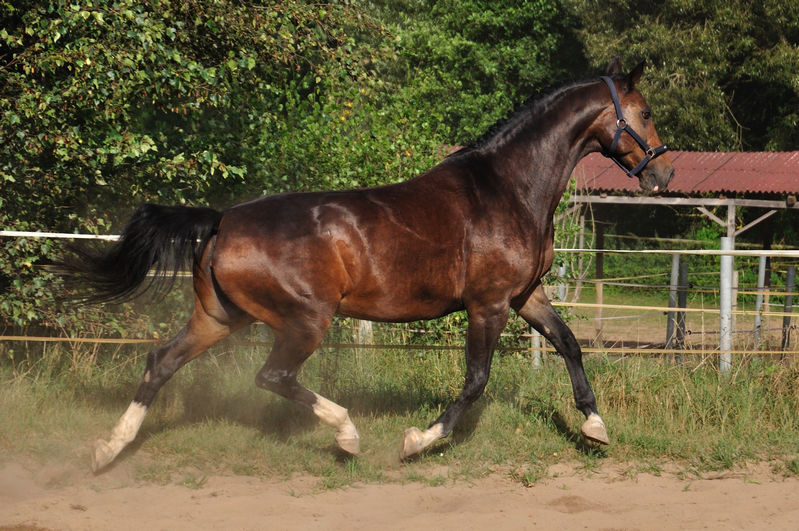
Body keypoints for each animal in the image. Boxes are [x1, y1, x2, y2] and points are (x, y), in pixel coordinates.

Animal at [64, 59, 676, 474]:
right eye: (645, 113)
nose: (662, 174)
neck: (507, 189)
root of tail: (222, 221)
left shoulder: (526, 296)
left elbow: (569, 343)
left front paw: (594, 427)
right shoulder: (489, 304)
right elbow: (476, 380)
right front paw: (417, 441)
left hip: (221, 316)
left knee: (161, 361)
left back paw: (106, 450)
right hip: (306, 319)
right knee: (272, 376)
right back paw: (348, 435)